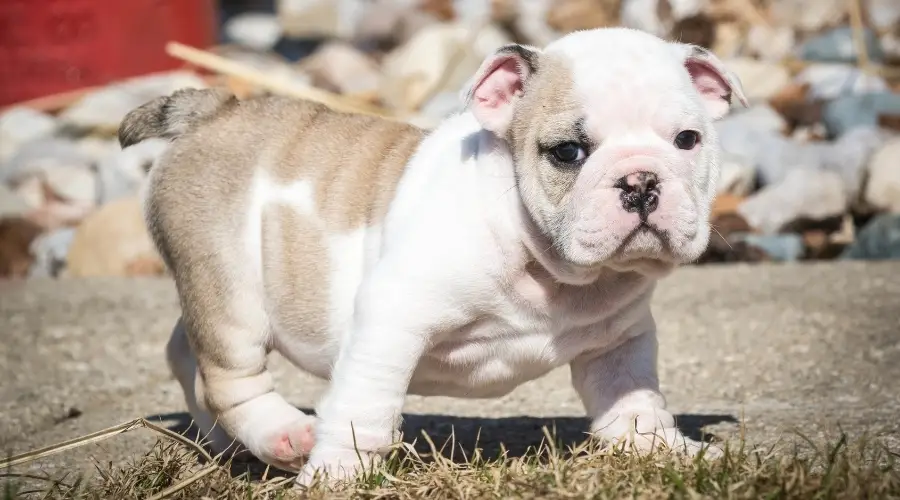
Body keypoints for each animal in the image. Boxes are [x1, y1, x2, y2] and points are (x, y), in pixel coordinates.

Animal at [121, 26, 752, 484]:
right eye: (568, 152)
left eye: (687, 141)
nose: (641, 181)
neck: (547, 265)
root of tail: (214, 110)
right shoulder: (391, 317)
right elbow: (364, 410)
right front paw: (340, 474)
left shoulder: (620, 340)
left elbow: (635, 399)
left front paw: (666, 450)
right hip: (229, 286)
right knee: (229, 374)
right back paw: (282, 434)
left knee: (186, 355)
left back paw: (228, 445)